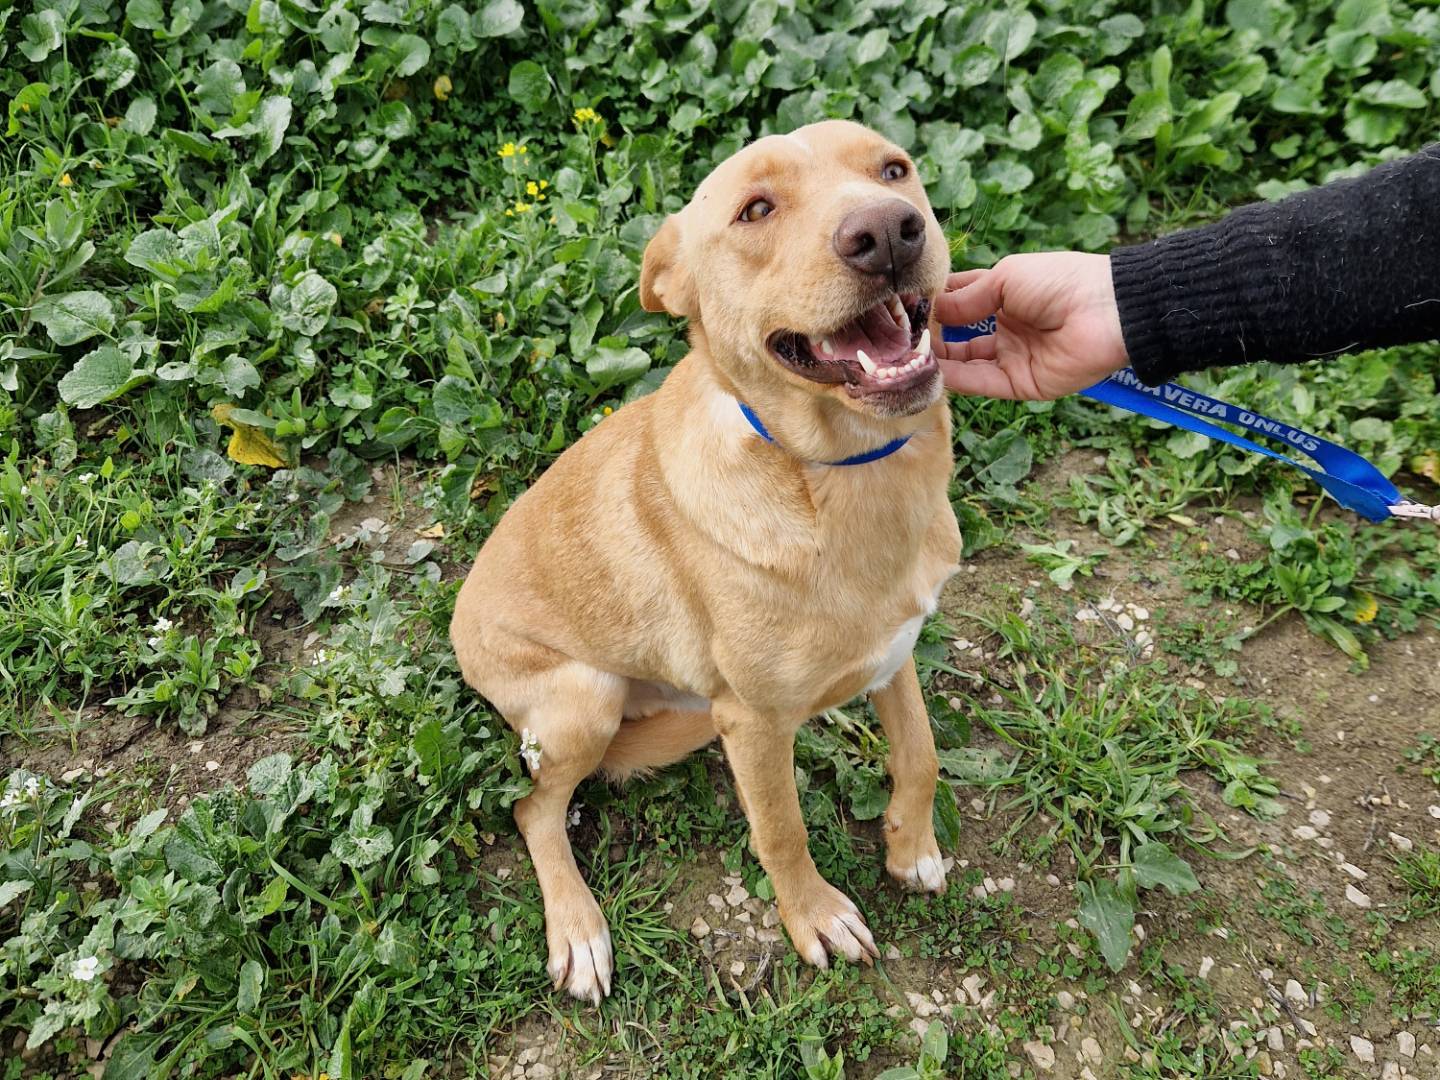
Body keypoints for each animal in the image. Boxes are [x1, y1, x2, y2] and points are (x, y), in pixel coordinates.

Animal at [452, 118, 956, 1008]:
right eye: (755, 210)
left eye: (894, 170)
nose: (888, 232)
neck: (842, 474)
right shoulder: (751, 724)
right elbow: (783, 831)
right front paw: (813, 915)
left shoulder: (895, 649)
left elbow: (921, 754)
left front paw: (911, 845)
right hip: (584, 700)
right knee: (533, 811)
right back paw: (578, 930)